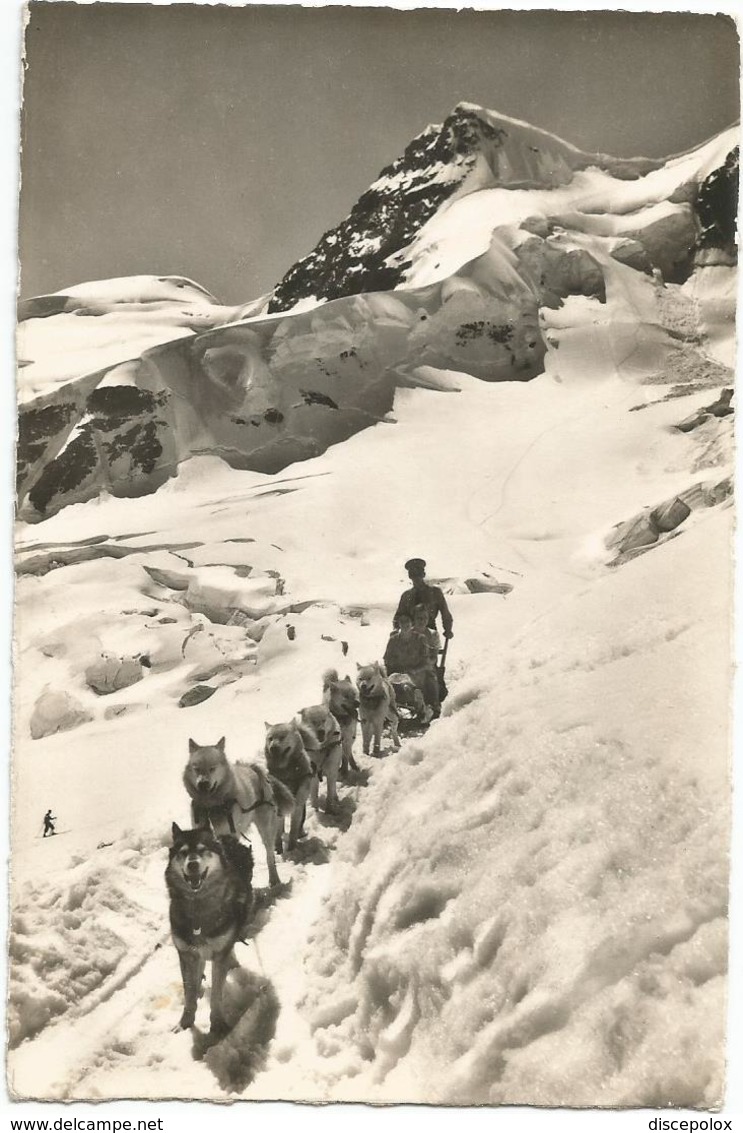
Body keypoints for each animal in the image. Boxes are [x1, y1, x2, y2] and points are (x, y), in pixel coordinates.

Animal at [164, 824, 253, 1037]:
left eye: (202, 850)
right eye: (183, 852)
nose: (192, 865)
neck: (198, 906)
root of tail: (227, 838)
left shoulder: (220, 951)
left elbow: (216, 995)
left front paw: (218, 1024)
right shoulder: (186, 953)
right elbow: (188, 994)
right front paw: (185, 1023)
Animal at [182, 738, 292, 888]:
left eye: (212, 768)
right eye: (196, 768)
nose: (202, 783)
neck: (211, 807)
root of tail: (254, 769)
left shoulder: (228, 835)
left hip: (266, 830)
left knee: (270, 856)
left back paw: (274, 879)